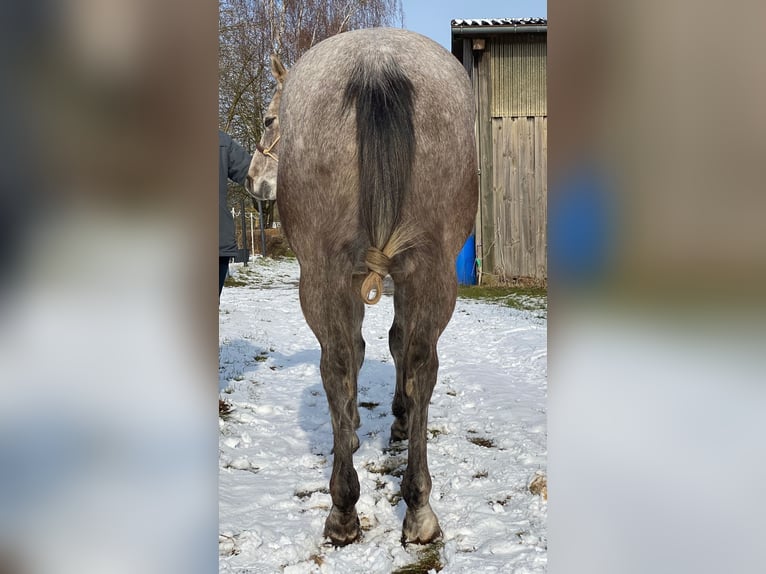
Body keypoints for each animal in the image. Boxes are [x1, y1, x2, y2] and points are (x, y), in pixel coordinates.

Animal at [258, 28, 478, 547]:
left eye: (269, 119)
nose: (255, 182)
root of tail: (375, 62)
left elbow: (368, 348)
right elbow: (388, 346)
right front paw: (389, 421)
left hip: (330, 274)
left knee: (344, 363)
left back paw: (350, 507)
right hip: (428, 271)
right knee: (413, 364)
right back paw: (409, 507)